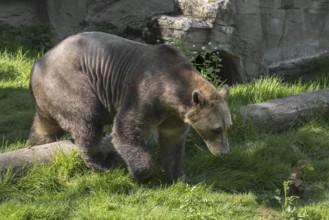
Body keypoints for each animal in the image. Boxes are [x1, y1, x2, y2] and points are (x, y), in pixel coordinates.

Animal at [28, 31, 232, 182]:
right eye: (216, 129)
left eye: (228, 127)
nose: (224, 153)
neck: (172, 92)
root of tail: (36, 65)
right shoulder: (145, 94)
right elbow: (127, 130)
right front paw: (139, 173)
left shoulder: (173, 115)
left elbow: (173, 142)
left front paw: (180, 177)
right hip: (69, 83)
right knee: (87, 122)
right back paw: (102, 163)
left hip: (49, 98)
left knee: (44, 127)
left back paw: (34, 145)